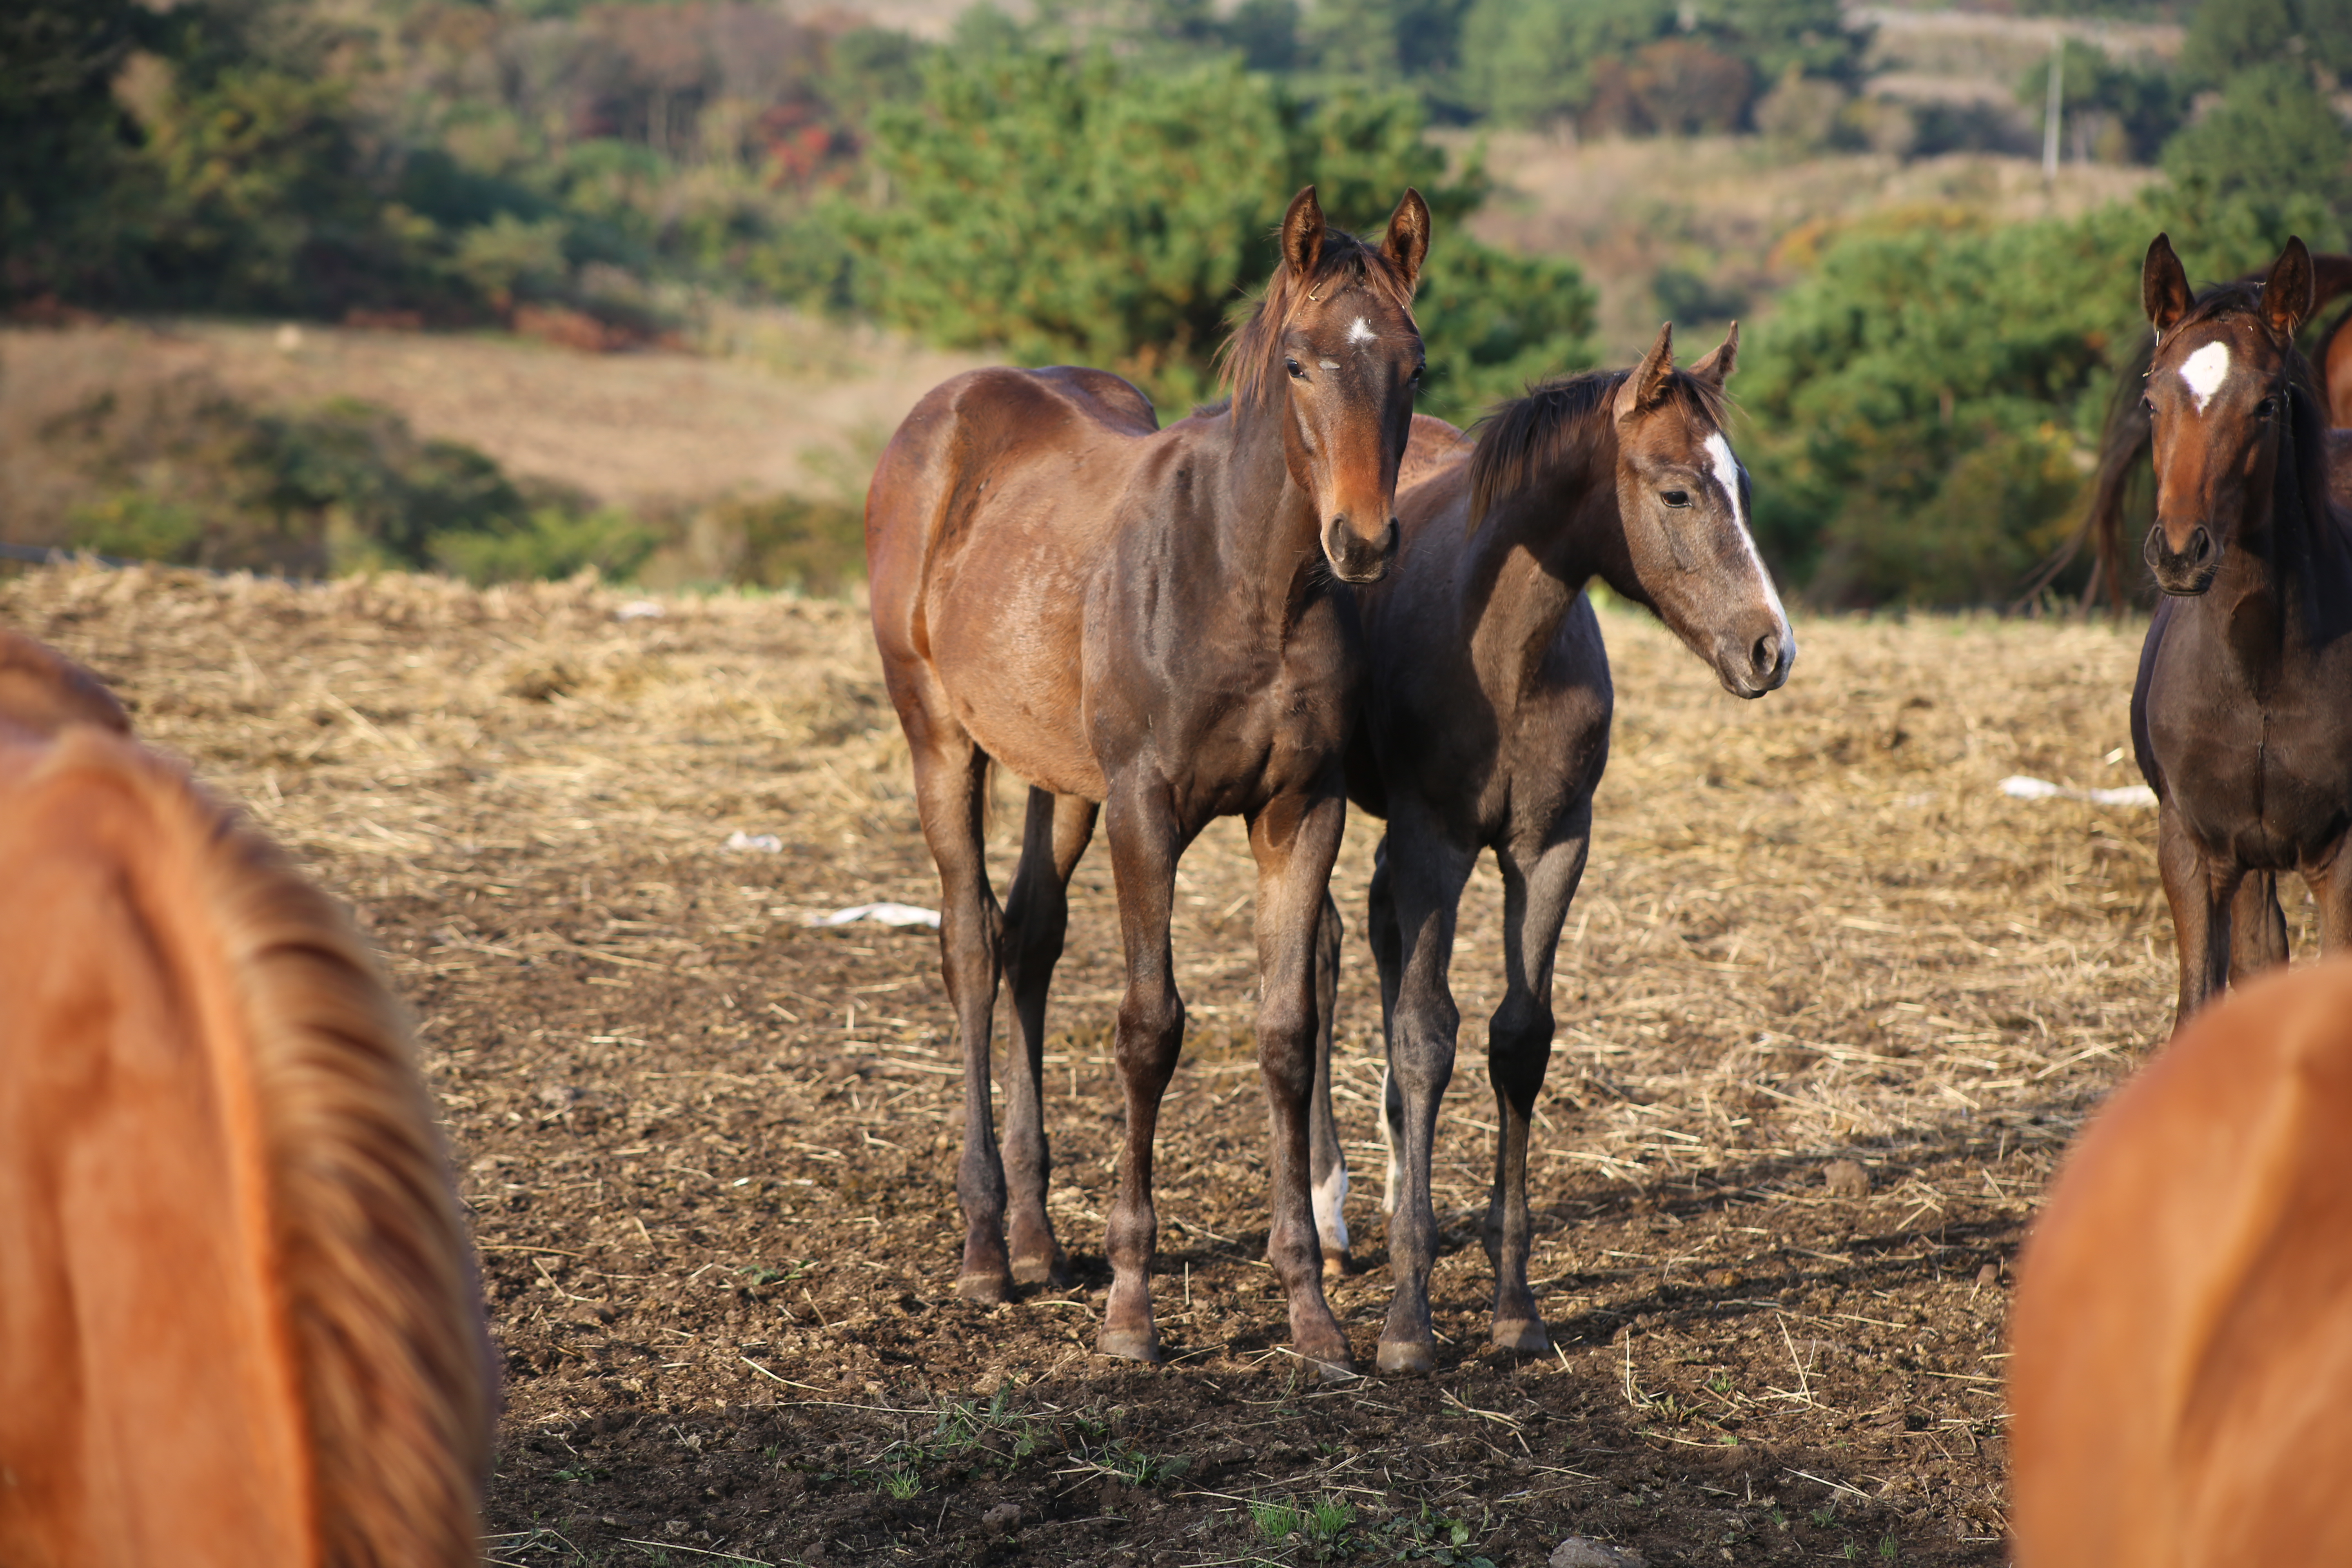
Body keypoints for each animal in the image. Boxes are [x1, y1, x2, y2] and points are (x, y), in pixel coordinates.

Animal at [870, 184, 1430, 1373]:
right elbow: (1149, 1027)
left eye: (1413, 366)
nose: (1363, 542)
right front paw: (1131, 1307)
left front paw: (1310, 1308)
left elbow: (1284, 1033)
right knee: (973, 944)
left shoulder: (1297, 812)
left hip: (1061, 783)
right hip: (941, 740)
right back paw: (985, 1248)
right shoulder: (1146, 809)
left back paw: (1037, 1239)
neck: (1240, 576)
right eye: (1301, 363)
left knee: (1030, 941)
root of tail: (945, 413)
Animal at [1307, 331, 1797, 1373]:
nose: (1770, 650)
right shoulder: (1436, 843)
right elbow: (1426, 1036)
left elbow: (1517, 1039)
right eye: (1676, 493)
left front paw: (1513, 1307)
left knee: (1372, 934)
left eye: (1740, 483)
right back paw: (1329, 1219)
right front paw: (1408, 1323)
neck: (1502, 653)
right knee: (1325, 961)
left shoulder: (1552, 846)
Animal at [2126, 240, 2352, 1029]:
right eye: (2151, 401)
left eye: (2266, 404)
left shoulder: (2341, 854)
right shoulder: (2196, 852)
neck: (2258, 670)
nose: (2180, 552)